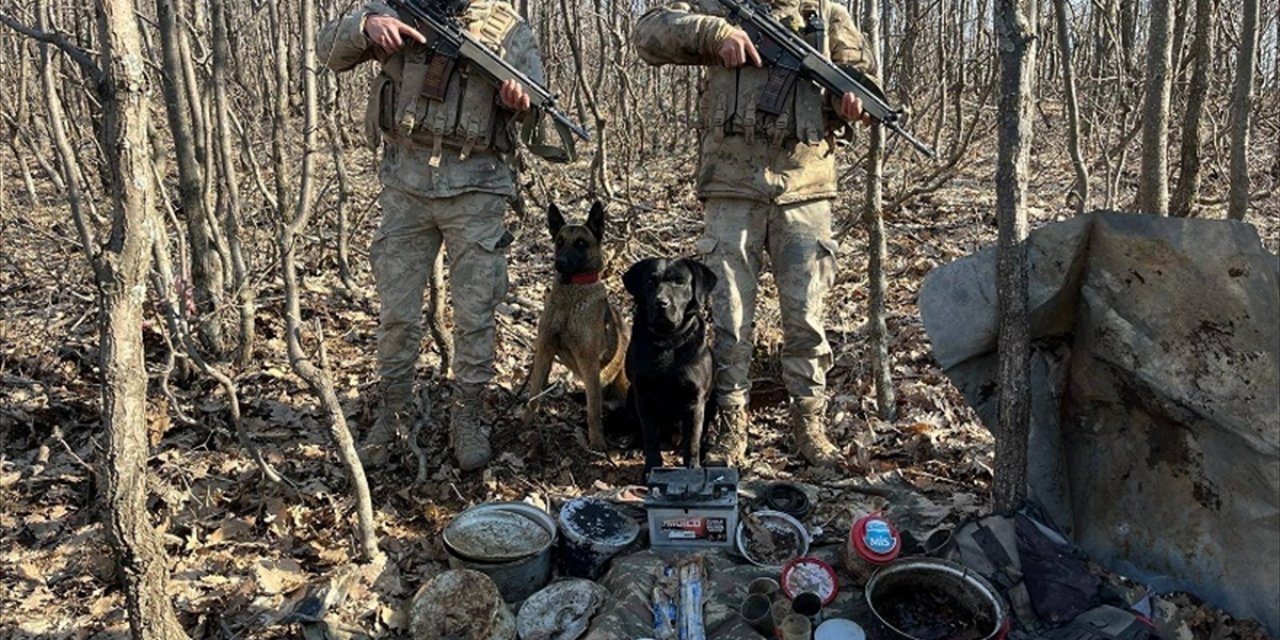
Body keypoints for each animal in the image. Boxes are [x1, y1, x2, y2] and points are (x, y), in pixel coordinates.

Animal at [524, 200, 629, 450]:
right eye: (560, 242)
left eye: (581, 243)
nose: (559, 263)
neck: (571, 298)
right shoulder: (544, 351)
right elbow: (533, 395)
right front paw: (525, 424)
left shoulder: (589, 363)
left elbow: (594, 411)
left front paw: (597, 442)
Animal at [622, 254, 716, 471]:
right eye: (650, 281)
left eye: (679, 282)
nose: (661, 303)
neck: (667, 341)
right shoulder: (643, 395)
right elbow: (650, 438)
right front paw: (650, 468)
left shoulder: (695, 400)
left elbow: (692, 442)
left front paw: (693, 469)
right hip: (631, 395)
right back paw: (634, 446)